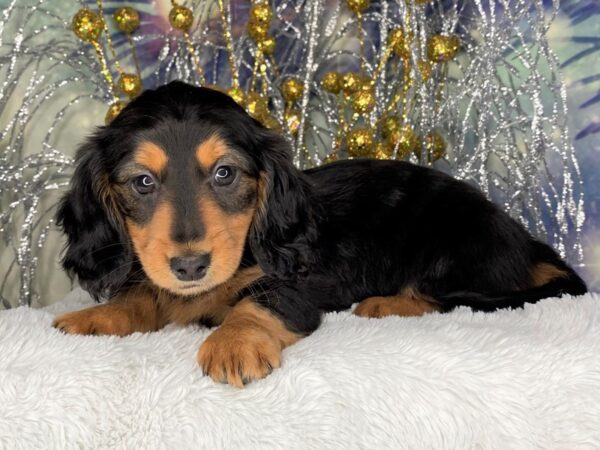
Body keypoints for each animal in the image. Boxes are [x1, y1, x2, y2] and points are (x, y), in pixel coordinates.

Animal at [54, 81, 588, 386]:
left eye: (225, 174)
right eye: (143, 182)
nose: (190, 266)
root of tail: (526, 242)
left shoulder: (298, 284)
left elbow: (255, 304)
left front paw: (234, 344)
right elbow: (140, 292)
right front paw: (97, 316)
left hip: (451, 242)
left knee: (444, 296)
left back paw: (386, 303)